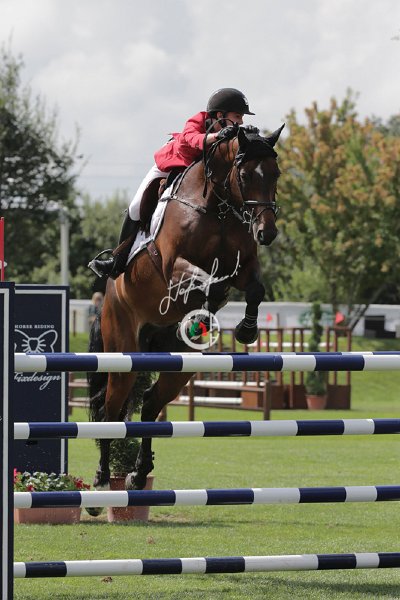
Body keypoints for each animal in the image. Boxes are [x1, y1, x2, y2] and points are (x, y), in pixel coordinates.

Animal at [88, 124, 284, 496]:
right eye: (246, 174)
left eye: (276, 173)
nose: (266, 233)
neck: (216, 207)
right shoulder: (175, 266)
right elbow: (210, 282)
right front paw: (210, 307)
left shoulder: (244, 266)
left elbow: (254, 288)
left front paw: (246, 329)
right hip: (122, 350)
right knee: (110, 410)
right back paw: (104, 477)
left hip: (180, 364)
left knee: (150, 403)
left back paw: (138, 474)